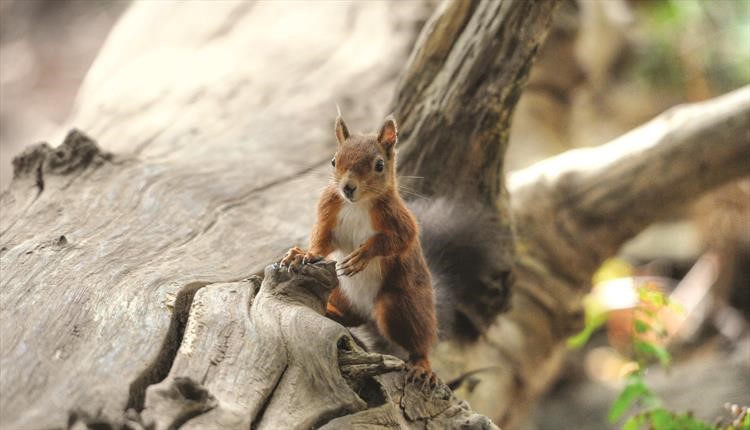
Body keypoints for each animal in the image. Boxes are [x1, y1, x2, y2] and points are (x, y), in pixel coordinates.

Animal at [282, 112, 438, 382]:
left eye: (379, 165)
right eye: (334, 161)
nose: (348, 187)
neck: (357, 204)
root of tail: (367, 312)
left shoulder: (399, 219)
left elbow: (398, 240)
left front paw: (362, 255)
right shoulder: (329, 210)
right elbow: (321, 240)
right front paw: (303, 254)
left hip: (402, 304)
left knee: (418, 336)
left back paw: (421, 364)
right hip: (339, 291)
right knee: (349, 317)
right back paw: (330, 312)